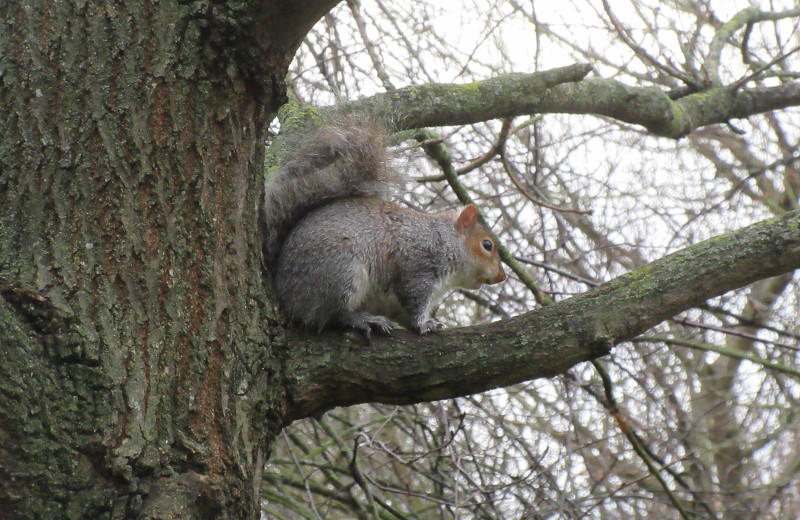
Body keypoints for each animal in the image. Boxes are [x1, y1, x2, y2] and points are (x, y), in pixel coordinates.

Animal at [262, 116, 506, 340]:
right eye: (487, 245)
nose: (501, 277)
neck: (442, 239)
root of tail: (284, 292)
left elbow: (405, 314)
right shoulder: (417, 267)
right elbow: (414, 301)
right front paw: (424, 324)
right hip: (339, 272)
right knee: (328, 315)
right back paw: (362, 319)